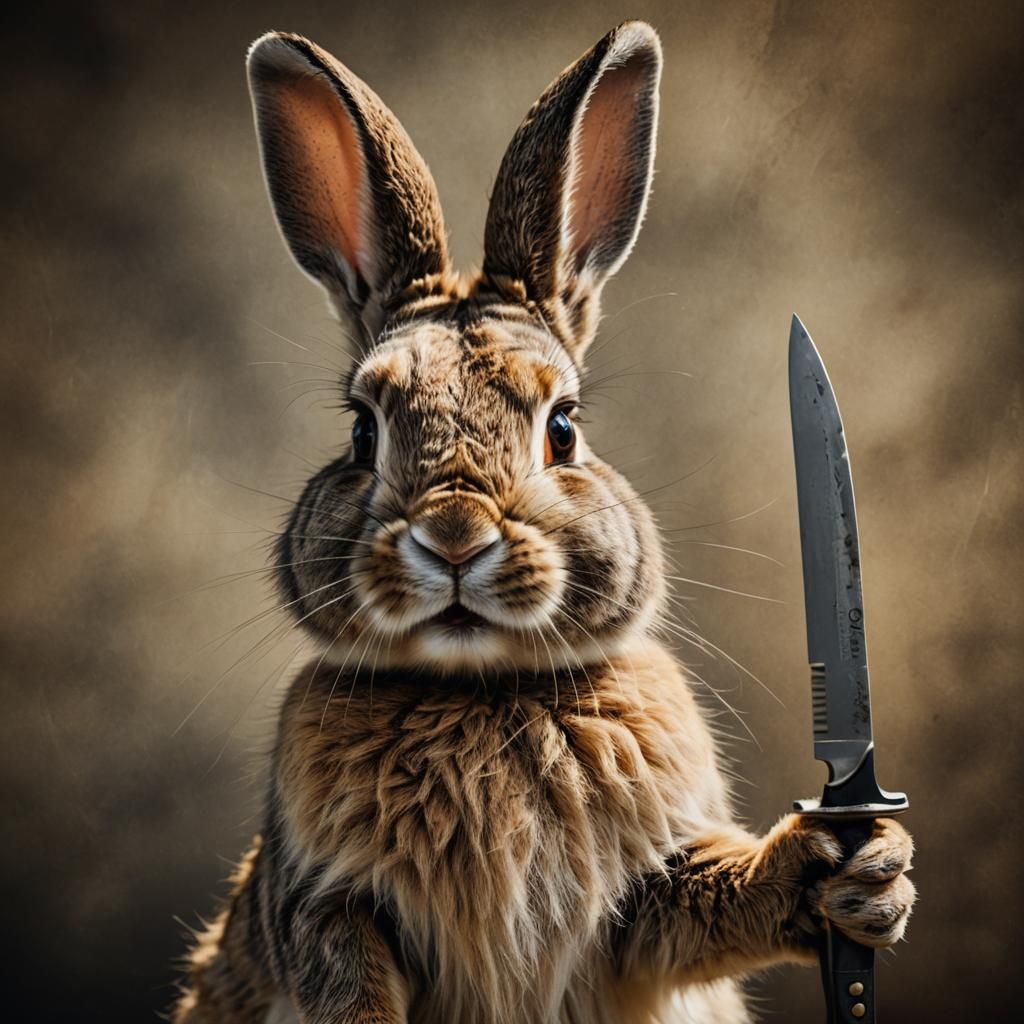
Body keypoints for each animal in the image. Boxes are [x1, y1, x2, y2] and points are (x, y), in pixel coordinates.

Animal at [173, 22, 915, 1024]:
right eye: (363, 430)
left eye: (563, 427)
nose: (453, 537)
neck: (482, 694)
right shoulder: (326, 906)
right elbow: (346, 976)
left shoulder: (649, 894)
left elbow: (703, 903)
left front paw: (862, 874)